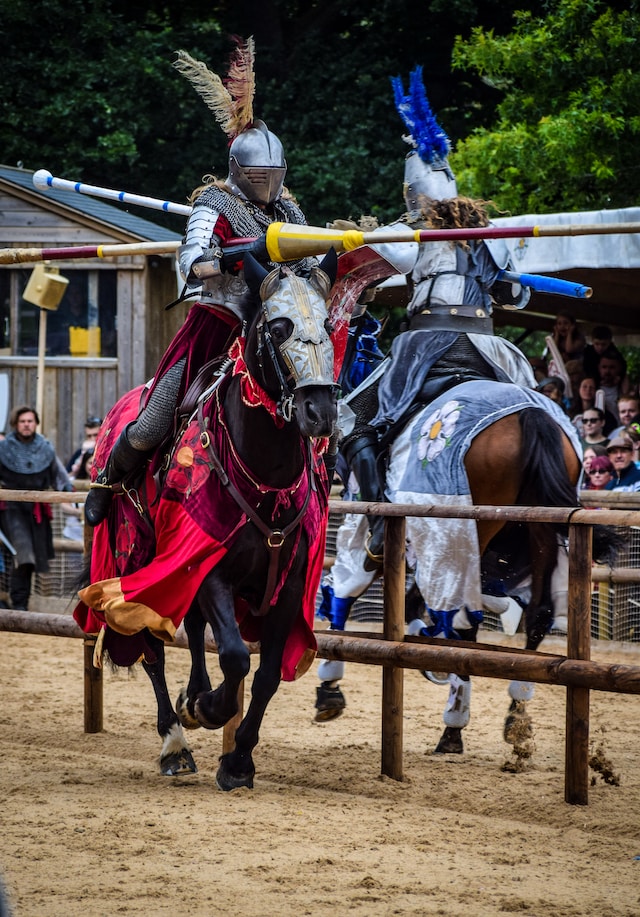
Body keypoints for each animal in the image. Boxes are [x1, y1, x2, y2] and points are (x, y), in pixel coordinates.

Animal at [75, 250, 340, 788]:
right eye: (277, 327)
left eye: (327, 324)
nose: (319, 411)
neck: (266, 477)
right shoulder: (208, 564)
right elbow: (235, 655)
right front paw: (208, 710)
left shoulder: (287, 584)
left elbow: (263, 676)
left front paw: (238, 760)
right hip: (137, 556)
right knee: (152, 647)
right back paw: (174, 741)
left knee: (193, 631)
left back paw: (193, 698)